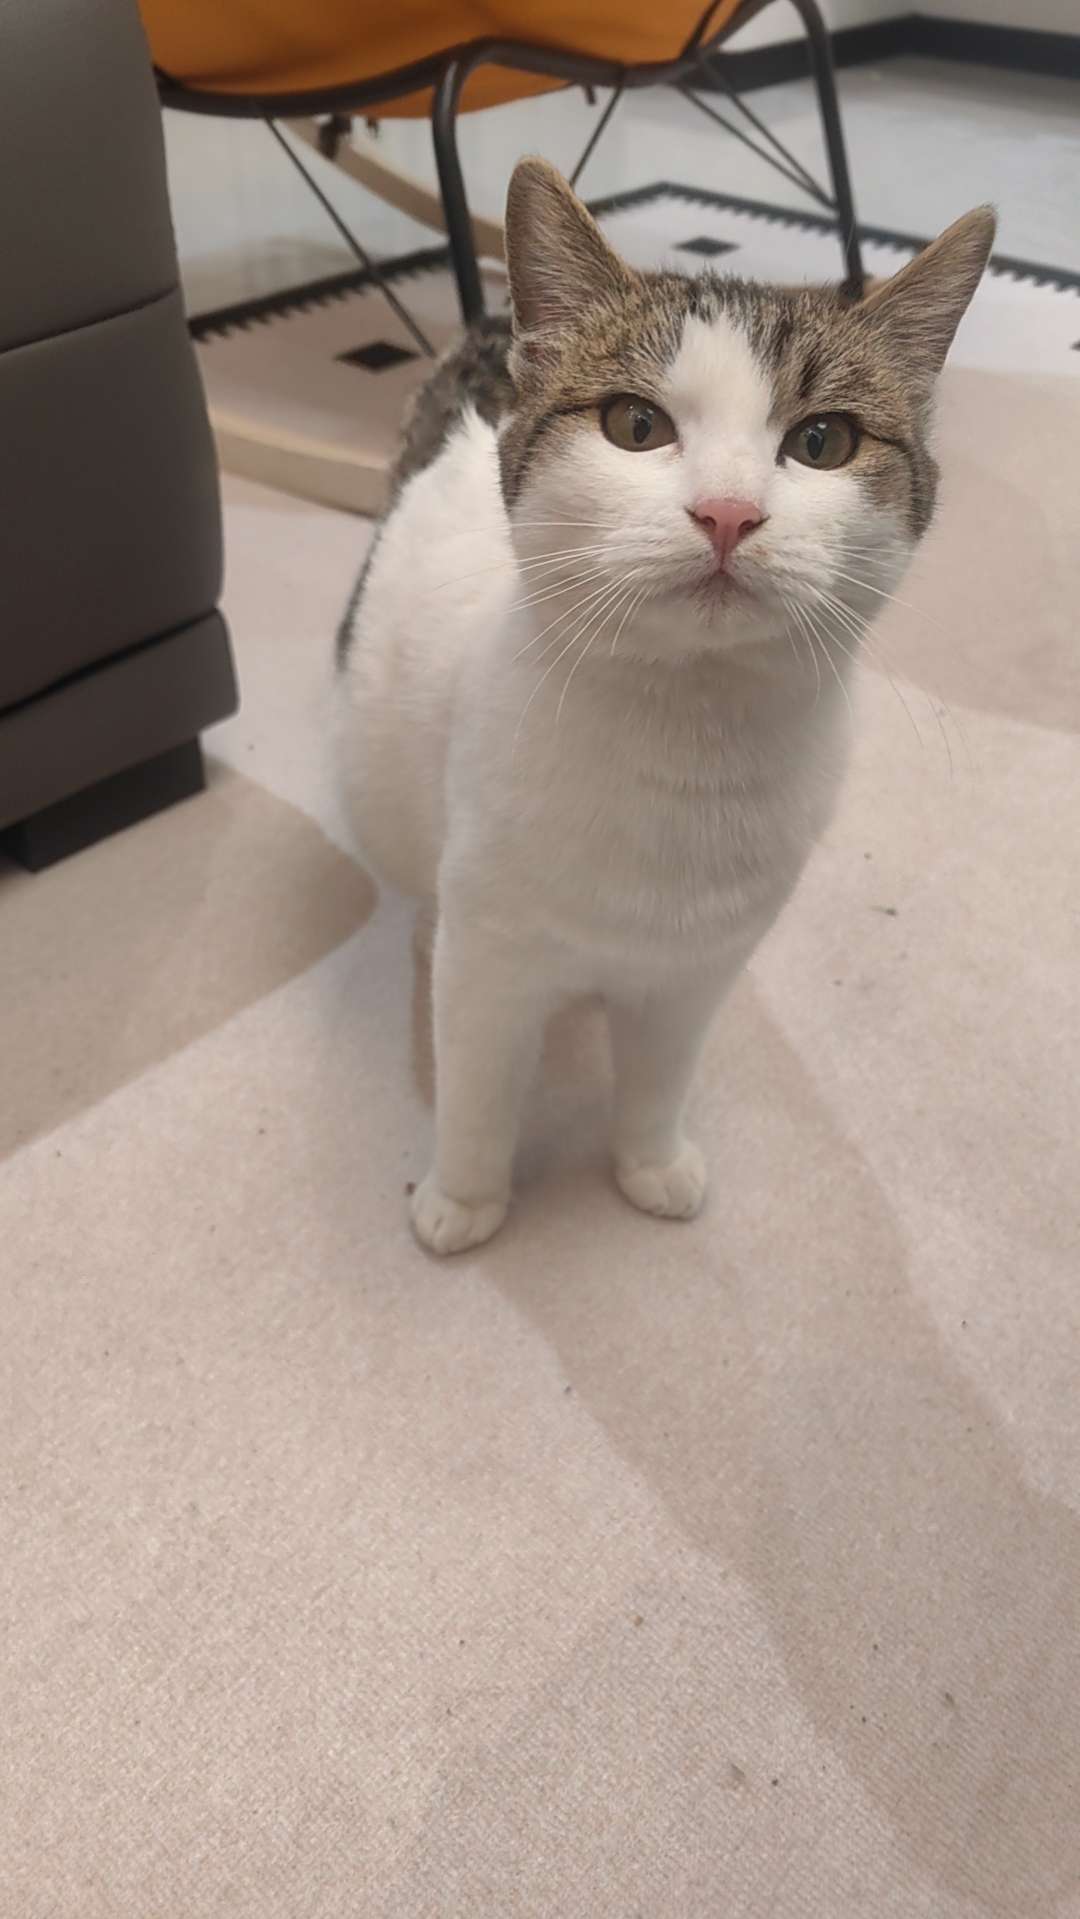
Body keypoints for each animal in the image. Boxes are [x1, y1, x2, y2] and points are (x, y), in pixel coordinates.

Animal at [338, 157, 994, 1255]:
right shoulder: (493, 959)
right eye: (635, 426)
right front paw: (464, 1195)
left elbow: (657, 1074)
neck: (687, 741)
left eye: (824, 440)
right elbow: (477, 1081)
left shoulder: (700, 969)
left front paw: (648, 1160)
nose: (728, 512)